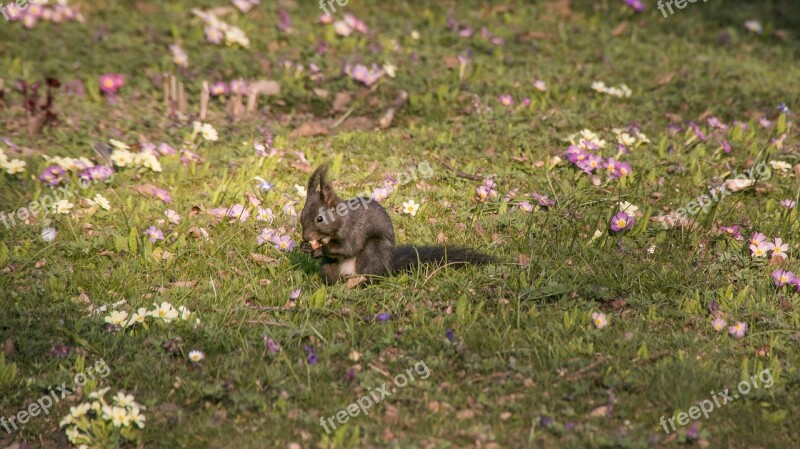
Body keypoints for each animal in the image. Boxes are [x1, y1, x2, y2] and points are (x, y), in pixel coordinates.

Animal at [296, 164, 490, 284]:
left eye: (320, 219)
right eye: (301, 216)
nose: (306, 236)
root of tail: (388, 268)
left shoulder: (353, 229)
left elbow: (348, 247)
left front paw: (321, 249)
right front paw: (305, 247)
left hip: (374, 252)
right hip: (329, 268)